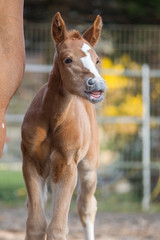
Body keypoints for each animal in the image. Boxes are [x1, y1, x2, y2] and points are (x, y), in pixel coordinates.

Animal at [21, 12, 106, 239]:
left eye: (97, 60)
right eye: (68, 59)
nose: (98, 86)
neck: (54, 119)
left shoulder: (68, 164)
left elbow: (58, 227)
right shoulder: (31, 162)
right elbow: (36, 224)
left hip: (88, 167)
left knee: (86, 206)